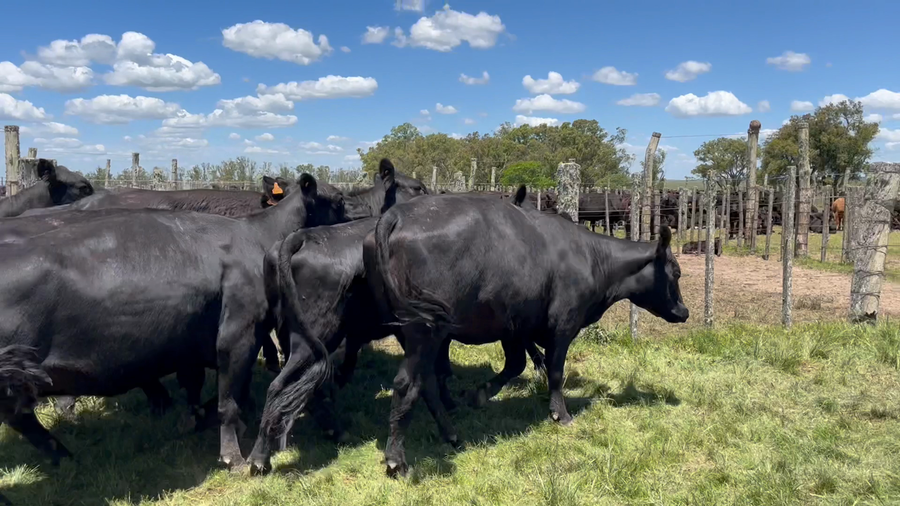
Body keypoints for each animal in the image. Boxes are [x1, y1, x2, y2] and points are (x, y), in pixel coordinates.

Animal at [0, 173, 347, 470]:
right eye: (340, 200)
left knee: (22, 419)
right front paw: (232, 455)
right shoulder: (238, 334)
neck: (258, 238)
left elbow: (204, 386)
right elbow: (229, 401)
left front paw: (194, 419)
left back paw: (64, 455)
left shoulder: (195, 340)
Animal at [361, 194, 688, 476]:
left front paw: (479, 394)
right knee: (407, 384)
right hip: (425, 332)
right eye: (677, 272)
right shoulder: (563, 325)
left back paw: (451, 433)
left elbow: (516, 365)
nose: (684, 312)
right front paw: (560, 414)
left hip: (419, 333)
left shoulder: (514, 327)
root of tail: (396, 215)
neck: (592, 258)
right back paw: (397, 460)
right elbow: (555, 371)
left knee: (426, 382)